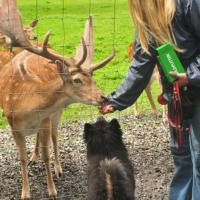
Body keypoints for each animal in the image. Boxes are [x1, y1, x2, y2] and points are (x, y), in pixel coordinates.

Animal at [0, 0, 115, 199]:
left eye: (93, 78)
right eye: (77, 80)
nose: (103, 97)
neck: (25, 107)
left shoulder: (45, 119)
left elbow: (47, 154)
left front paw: (52, 190)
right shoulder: (13, 125)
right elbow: (21, 158)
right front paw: (25, 192)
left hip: (56, 115)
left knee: (54, 136)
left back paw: (58, 167)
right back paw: (34, 157)